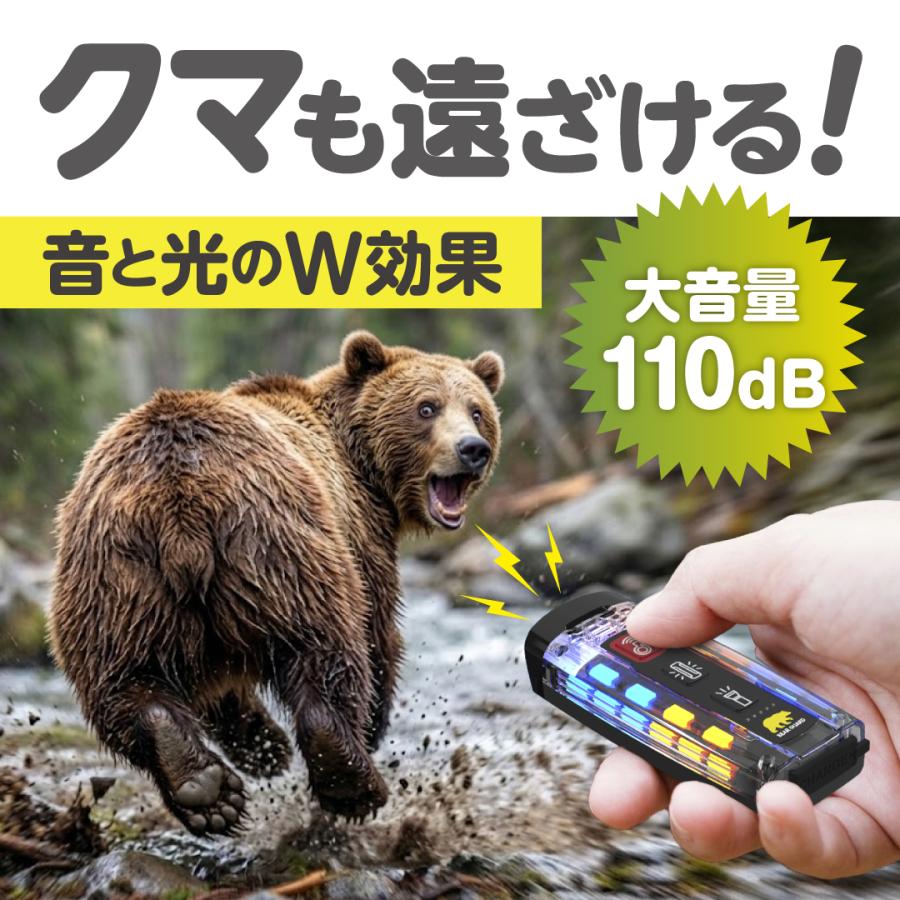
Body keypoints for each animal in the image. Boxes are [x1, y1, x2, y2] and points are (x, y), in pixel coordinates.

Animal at [48, 331, 503, 835]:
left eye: (477, 410)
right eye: (427, 407)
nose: (472, 448)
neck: (360, 463)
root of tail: (178, 497)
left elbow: (217, 687)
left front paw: (265, 749)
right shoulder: (360, 534)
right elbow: (378, 633)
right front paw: (366, 727)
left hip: (116, 579)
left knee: (118, 681)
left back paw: (202, 784)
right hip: (277, 547)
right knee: (325, 645)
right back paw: (350, 781)